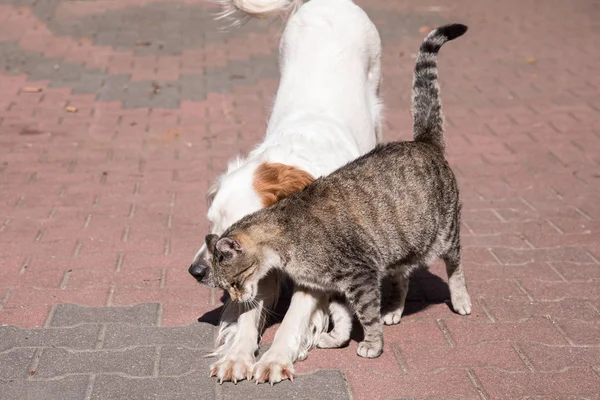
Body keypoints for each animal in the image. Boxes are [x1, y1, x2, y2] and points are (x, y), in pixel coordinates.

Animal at [190, 0, 382, 384]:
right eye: (210, 225)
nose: (196, 271)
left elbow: (295, 316)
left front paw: (275, 357)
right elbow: (247, 315)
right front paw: (237, 356)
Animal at [204, 23, 472, 358]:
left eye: (235, 280)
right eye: (226, 286)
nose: (236, 297)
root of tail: (423, 141)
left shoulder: (359, 275)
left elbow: (366, 314)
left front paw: (371, 344)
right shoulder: (336, 284)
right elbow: (341, 314)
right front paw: (337, 338)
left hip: (445, 233)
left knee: (455, 264)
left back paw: (460, 299)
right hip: (398, 243)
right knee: (403, 274)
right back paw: (395, 308)